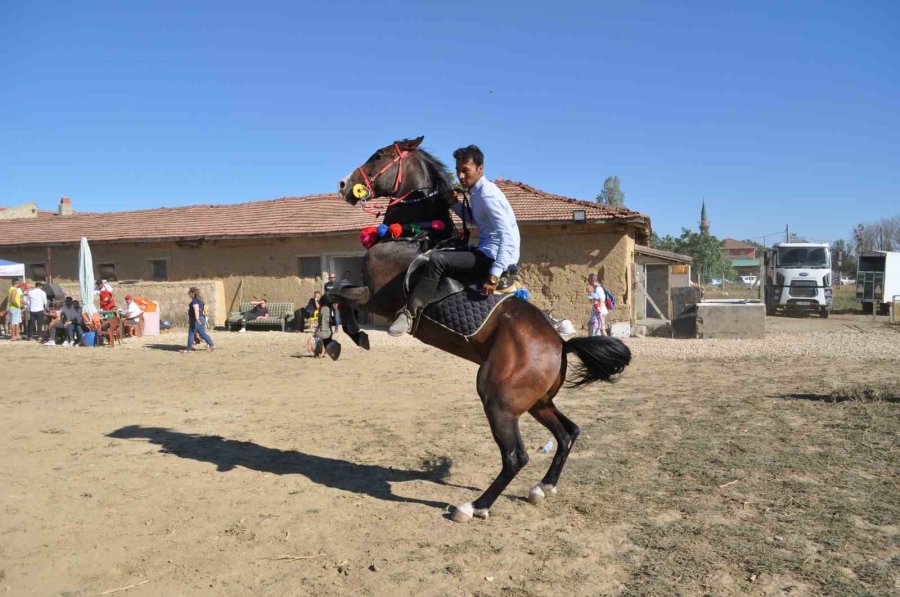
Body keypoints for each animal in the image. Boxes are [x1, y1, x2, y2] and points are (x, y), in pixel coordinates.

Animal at [334, 136, 628, 520]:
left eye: (379, 155)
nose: (344, 185)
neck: (412, 237)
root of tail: (559, 345)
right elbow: (334, 292)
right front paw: (347, 337)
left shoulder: (376, 299)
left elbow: (335, 293)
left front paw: (355, 336)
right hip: (537, 403)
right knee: (568, 433)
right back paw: (542, 488)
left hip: (497, 400)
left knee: (516, 456)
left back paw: (474, 507)